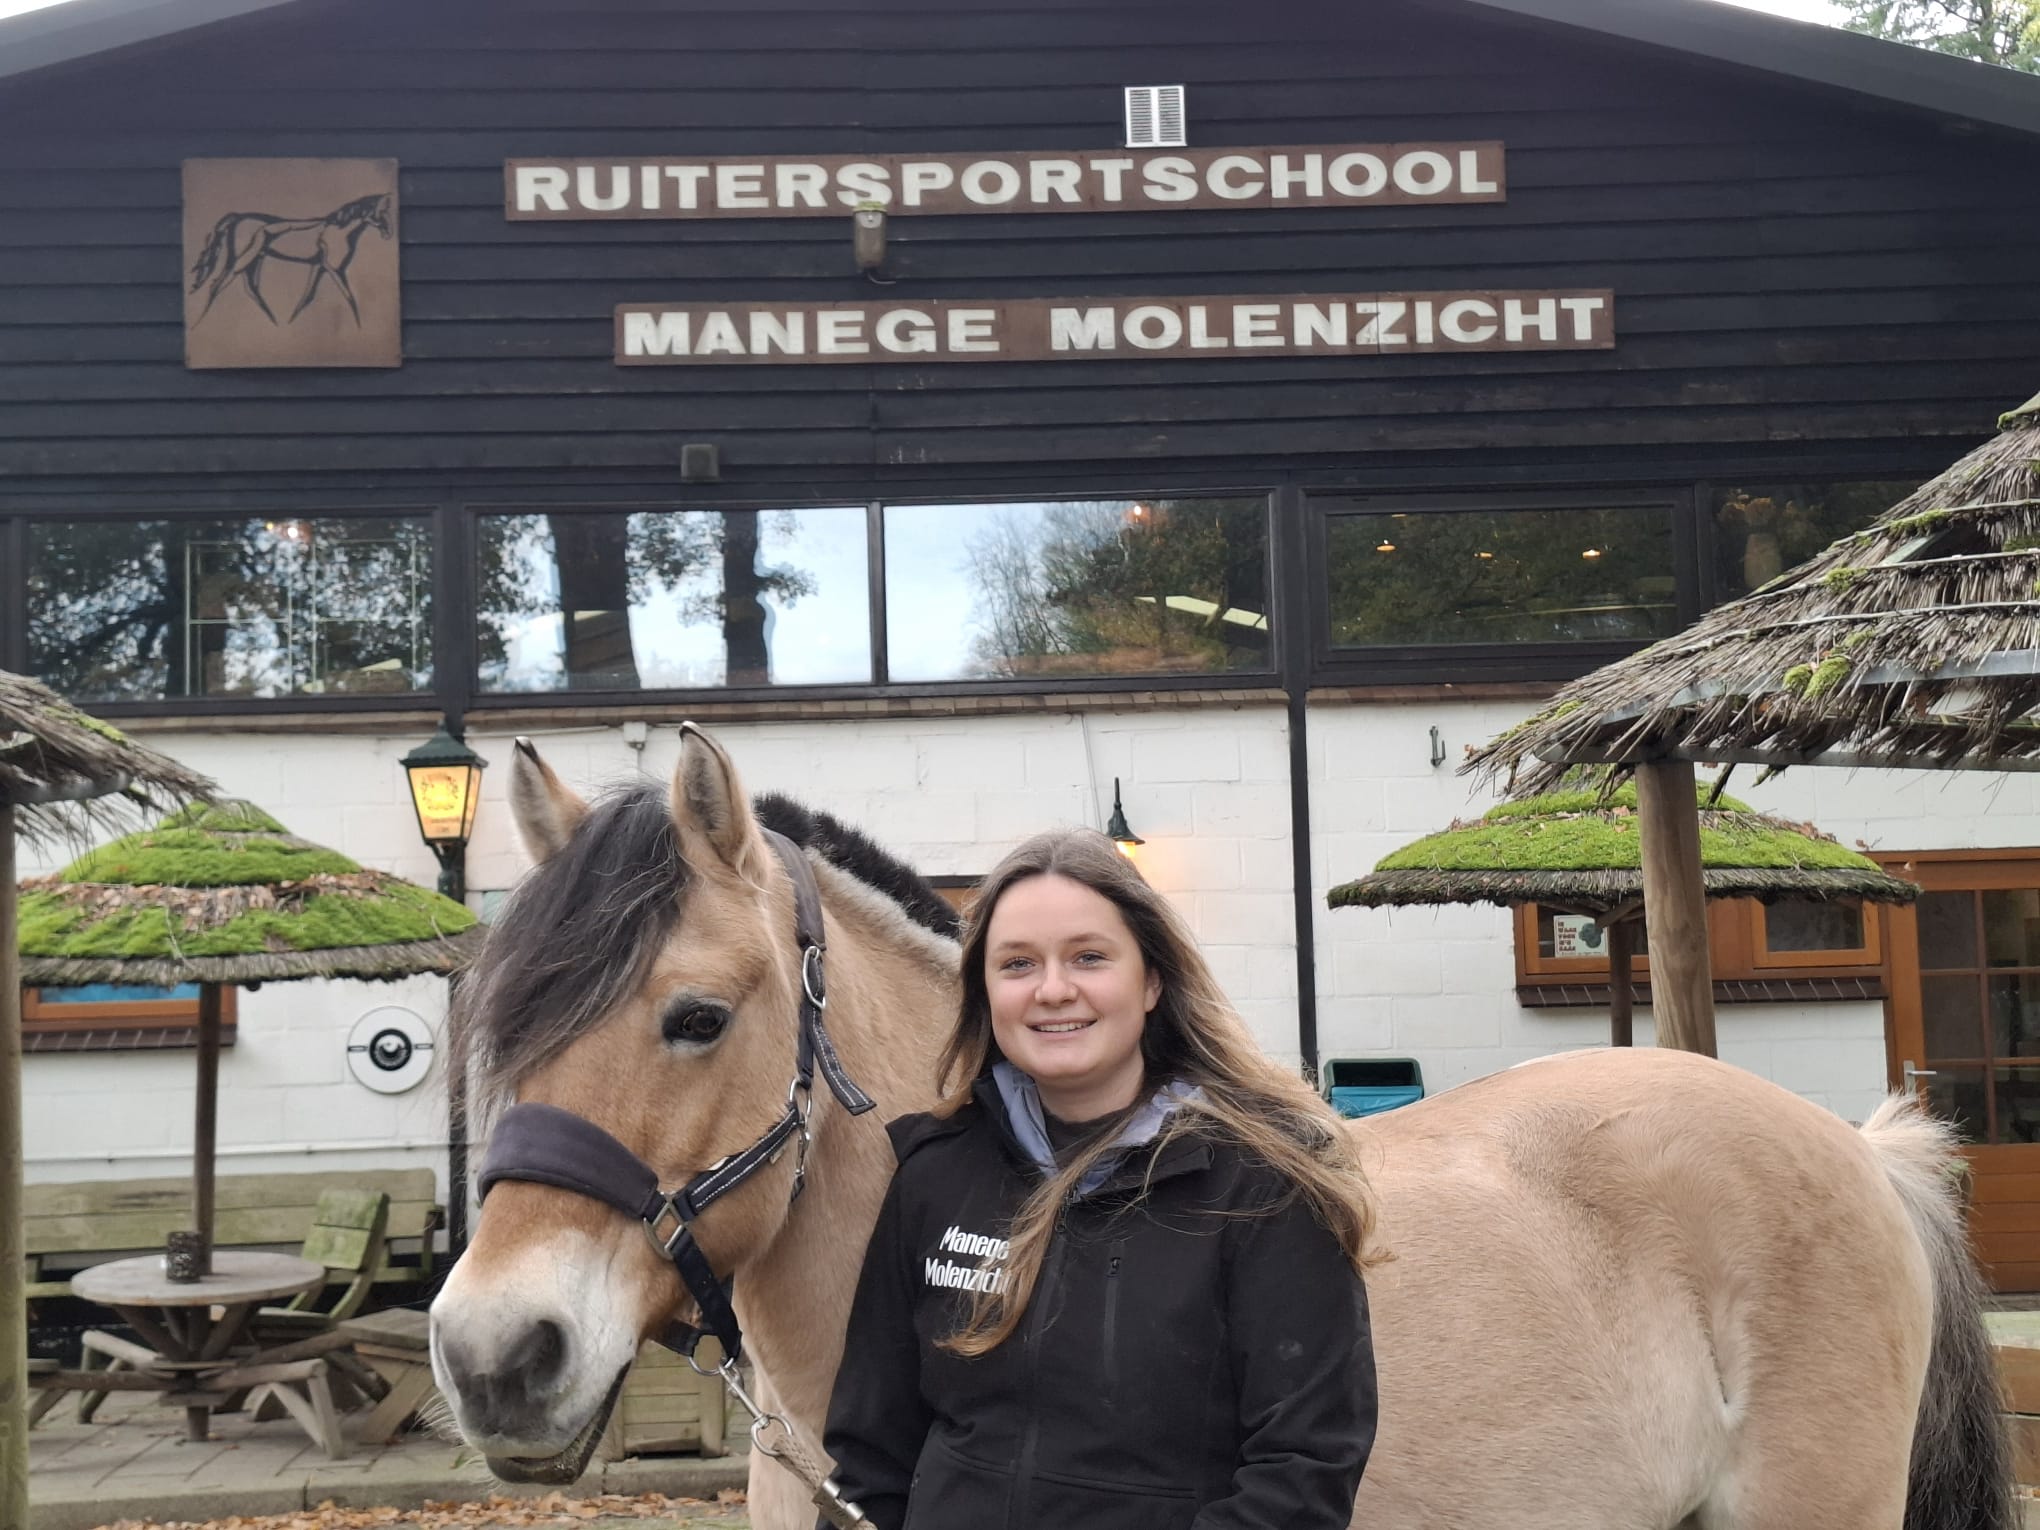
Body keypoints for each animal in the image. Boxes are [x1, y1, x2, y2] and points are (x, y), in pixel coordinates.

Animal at [187, 191, 392, 327]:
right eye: (381, 212)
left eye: (388, 212)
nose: (388, 234)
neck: (339, 229)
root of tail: (238, 216)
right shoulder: (335, 269)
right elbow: (349, 297)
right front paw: (359, 327)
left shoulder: (318, 266)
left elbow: (306, 298)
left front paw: (291, 324)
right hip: (241, 259)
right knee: (217, 286)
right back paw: (198, 325)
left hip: (254, 260)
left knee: (251, 289)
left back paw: (276, 326)